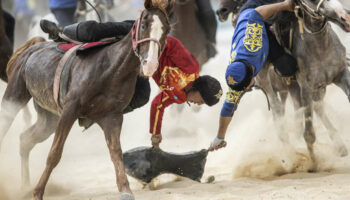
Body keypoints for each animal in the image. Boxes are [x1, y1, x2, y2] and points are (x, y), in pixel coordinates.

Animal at [0, 0, 174, 199]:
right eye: (144, 25)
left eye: (166, 30)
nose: (150, 64)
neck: (110, 68)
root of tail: (34, 46)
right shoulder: (70, 110)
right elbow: (54, 154)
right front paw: (37, 192)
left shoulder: (112, 117)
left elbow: (116, 153)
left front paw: (125, 190)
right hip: (14, 97)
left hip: (48, 119)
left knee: (25, 140)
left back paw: (25, 187)